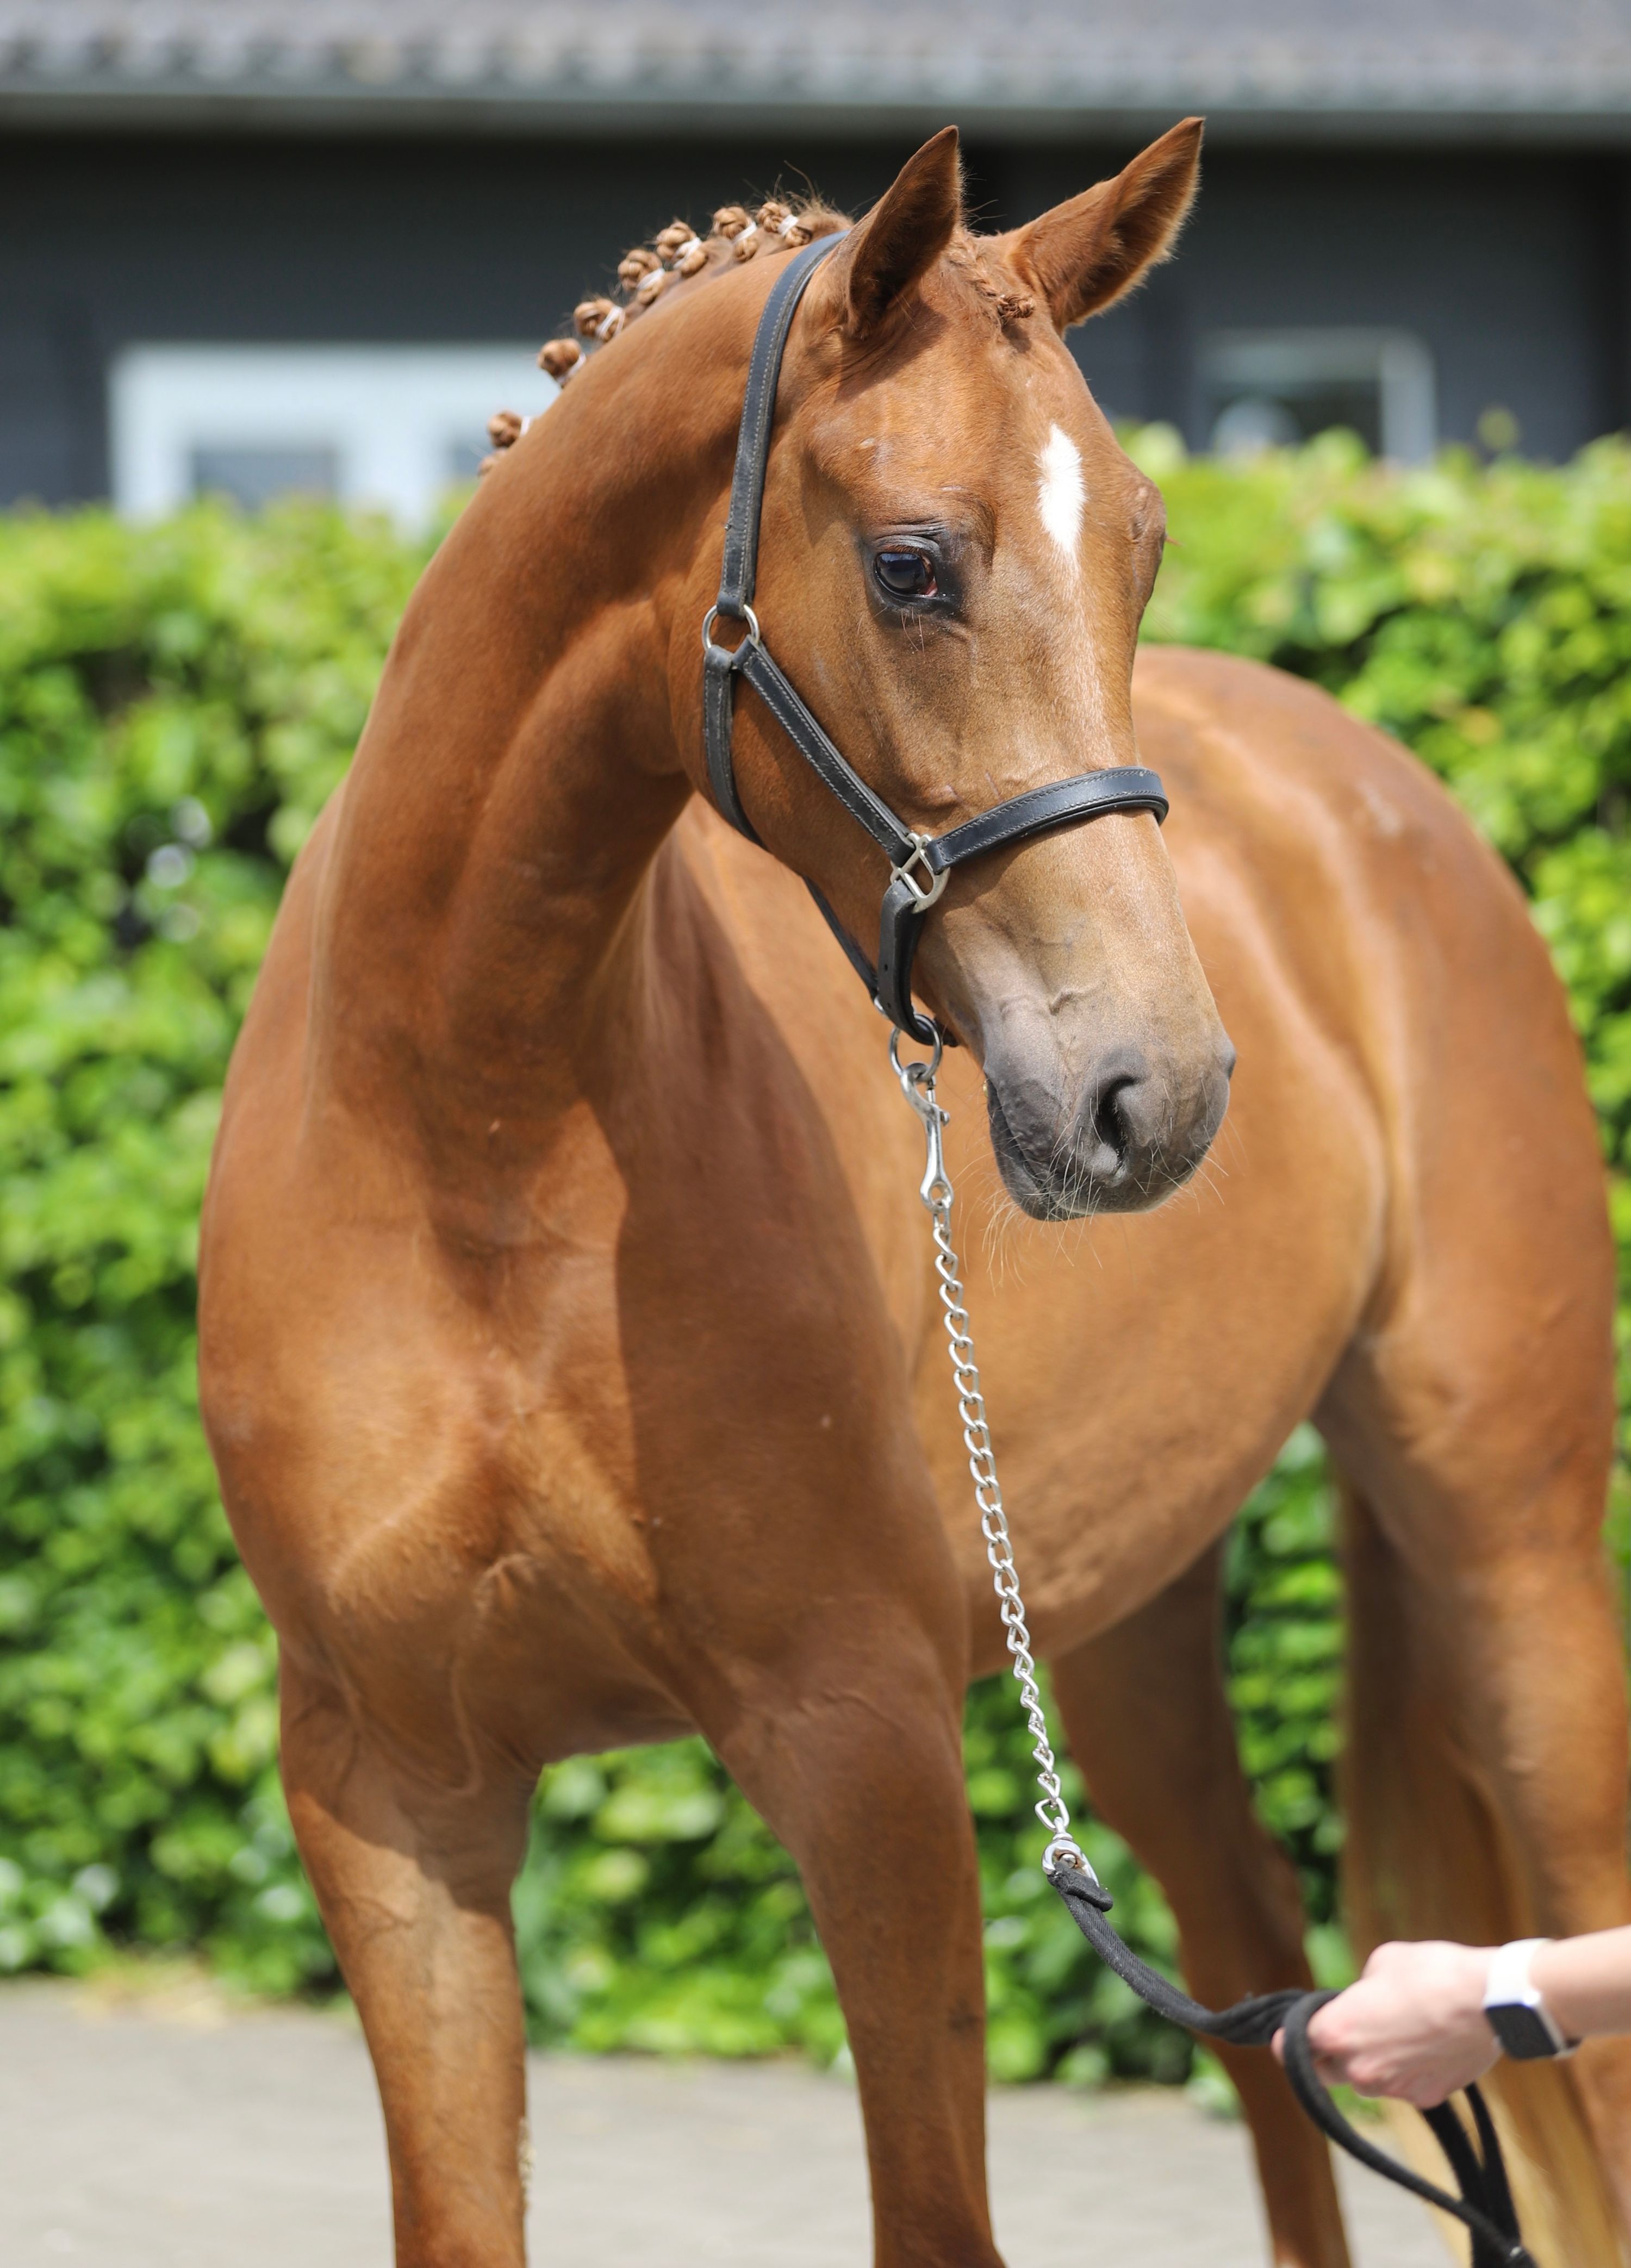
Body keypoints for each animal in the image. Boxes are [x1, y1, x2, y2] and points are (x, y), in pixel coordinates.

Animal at [197, 120, 1631, 2268]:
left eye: (1140, 543)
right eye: (909, 564)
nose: (1152, 1092)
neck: (471, 1142)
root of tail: (1379, 796)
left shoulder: (865, 1756)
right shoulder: (390, 1802)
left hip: (1509, 1557)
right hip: (1114, 1632)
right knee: (1261, 1989)